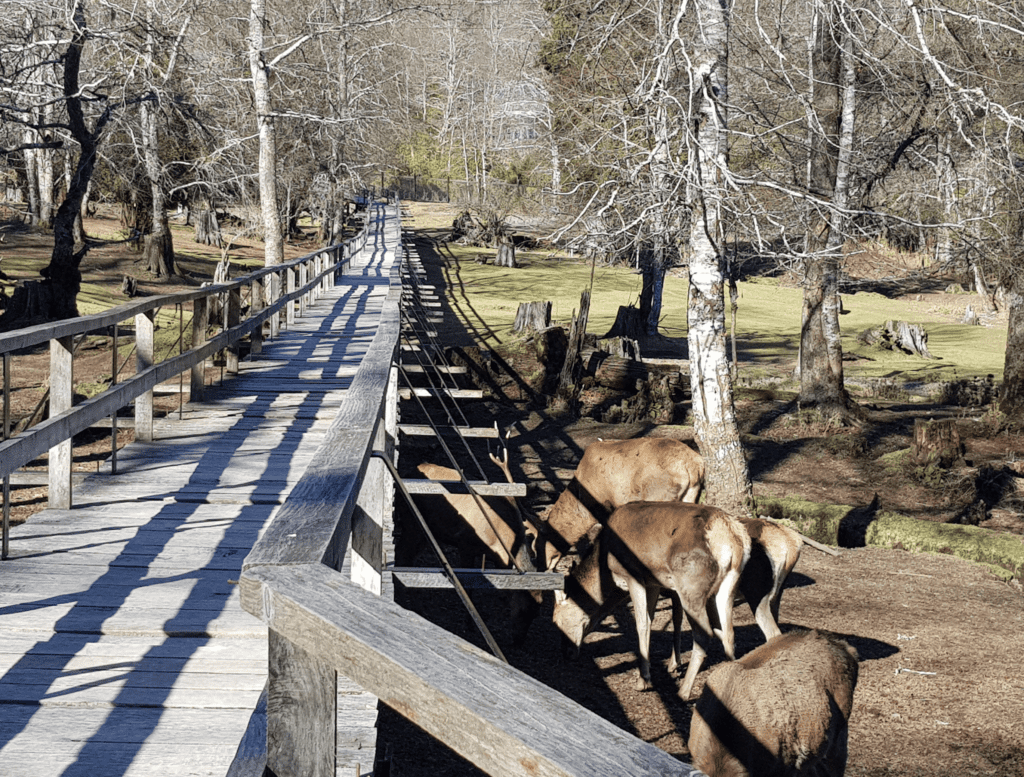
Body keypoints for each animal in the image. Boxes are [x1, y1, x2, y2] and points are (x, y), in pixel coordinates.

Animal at [552, 501, 753, 700]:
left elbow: (642, 624)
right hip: (728, 586)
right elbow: (652, 619)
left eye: (556, 621)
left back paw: (683, 692)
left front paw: (644, 681)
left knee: (704, 635)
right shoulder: (653, 582)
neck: (605, 563)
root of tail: (732, 537)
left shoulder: (633, 575)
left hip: (691, 586)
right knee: (728, 632)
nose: (567, 653)